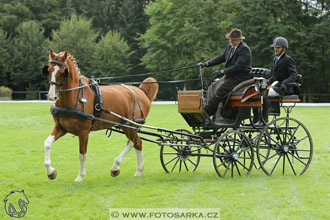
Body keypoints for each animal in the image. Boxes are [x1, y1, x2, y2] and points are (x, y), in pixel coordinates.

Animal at [42, 50, 159, 182]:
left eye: (63, 72)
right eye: (49, 70)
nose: (51, 96)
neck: (75, 96)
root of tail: (141, 92)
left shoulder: (84, 132)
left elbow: (82, 154)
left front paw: (80, 176)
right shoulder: (61, 128)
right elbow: (47, 143)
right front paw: (51, 172)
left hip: (131, 126)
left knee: (133, 143)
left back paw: (121, 168)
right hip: (125, 126)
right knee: (136, 143)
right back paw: (133, 170)